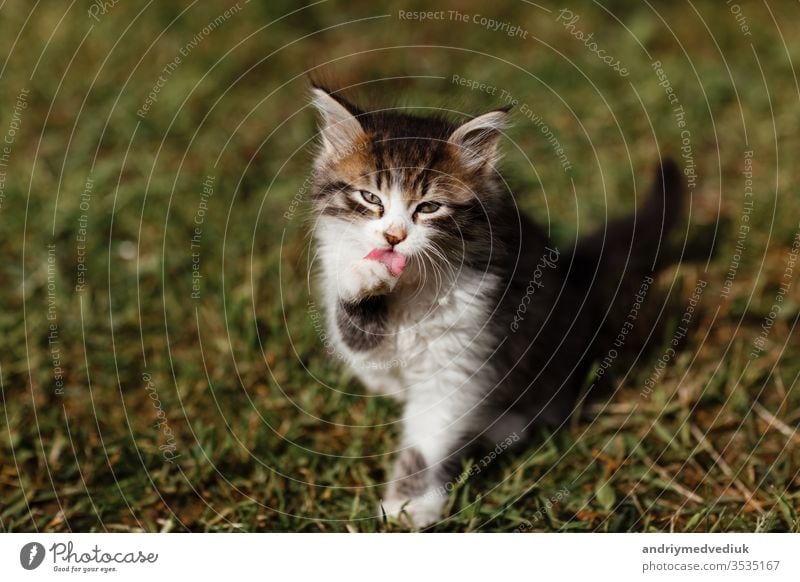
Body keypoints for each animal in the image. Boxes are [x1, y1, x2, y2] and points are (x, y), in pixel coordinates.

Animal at [306, 85, 680, 528]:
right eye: (370, 197)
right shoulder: (366, 348)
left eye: (428, 207)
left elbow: (428, 440)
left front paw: (412, 505)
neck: (413, 285)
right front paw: (365, 278)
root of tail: (572, 272)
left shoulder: (463, 355)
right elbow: (355, 328)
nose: (394, 237)